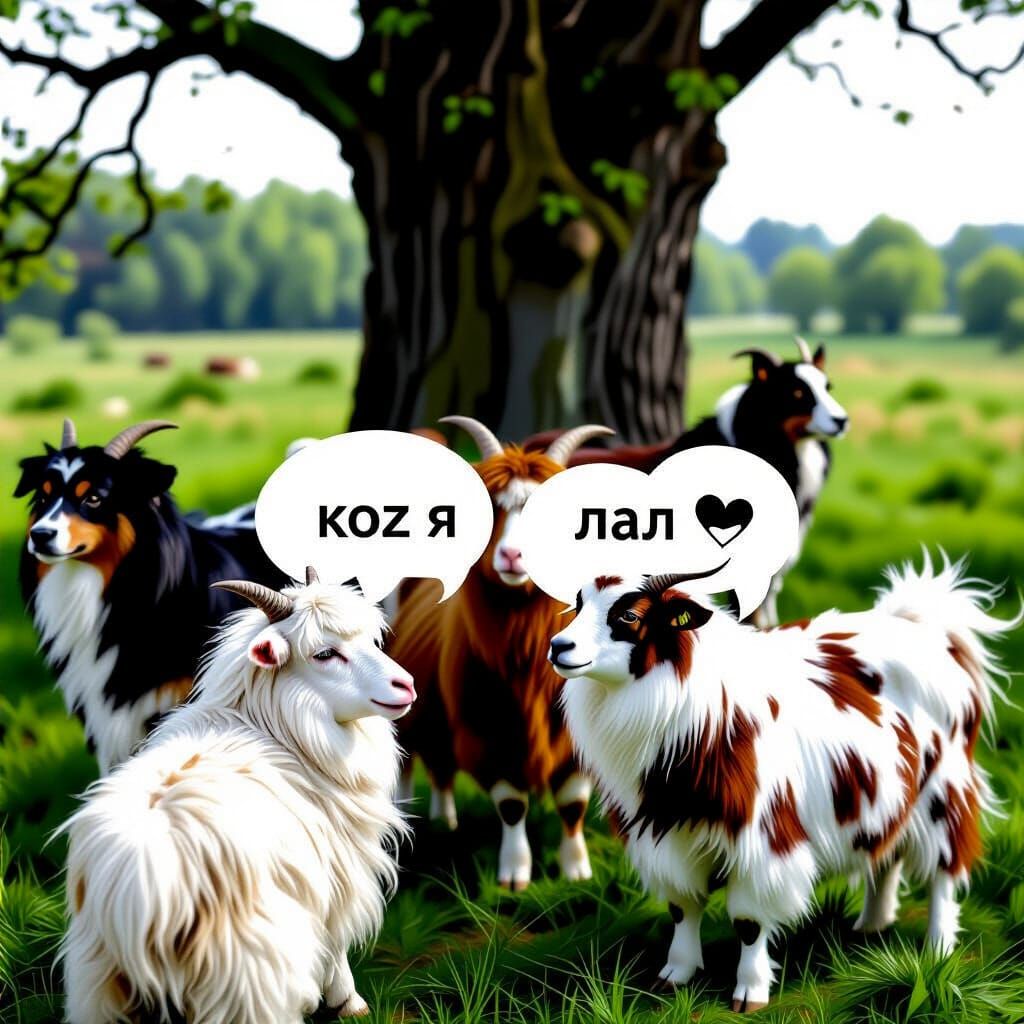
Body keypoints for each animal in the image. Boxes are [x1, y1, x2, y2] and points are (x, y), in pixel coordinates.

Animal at [61, 568, 414, 1024]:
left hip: (100, 986)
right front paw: (349, 1003)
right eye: (323, 654)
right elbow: (336, 947)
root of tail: (142, 895)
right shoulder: (335, 879)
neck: (275, 729)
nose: (405, 685)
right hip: (251, 976)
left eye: (371, 640)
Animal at [392, 418, 612, 890]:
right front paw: (514, 873)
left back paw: (444, 820)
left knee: (440, 767)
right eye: (492, 508)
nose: (513, 556)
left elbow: (573, 803)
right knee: (412, 763)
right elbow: (512, 804)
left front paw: (576, 870)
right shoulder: (485, 732)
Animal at [550, 554, 1015, 1012]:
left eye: (629, 615)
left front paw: (750, 992)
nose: (558, 646)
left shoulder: (763, 839)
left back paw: (938, 948)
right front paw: (674, 975)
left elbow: (749, 921)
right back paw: (871, 925)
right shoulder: (665, 833)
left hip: (943, 792)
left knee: (944, 870)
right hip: (887, 795)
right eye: (578, 604)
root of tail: (926, 626)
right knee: (887, 854)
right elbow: (683, 906)